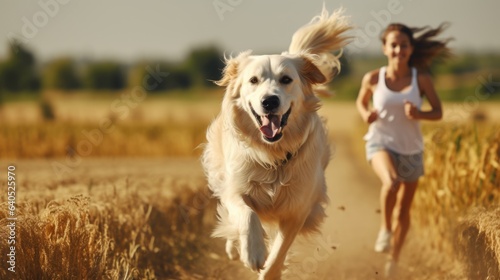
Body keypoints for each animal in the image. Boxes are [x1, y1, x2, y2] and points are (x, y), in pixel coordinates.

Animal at [200, 6, 352, 280]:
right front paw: (253, 251)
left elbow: (278, 254)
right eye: (253, 80)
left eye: (286, 79)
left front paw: (267, 266)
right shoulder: (236, 189)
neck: (272, 153)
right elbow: (246, 215)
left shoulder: (298, 210)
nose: (269, 101)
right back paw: (234, 248)